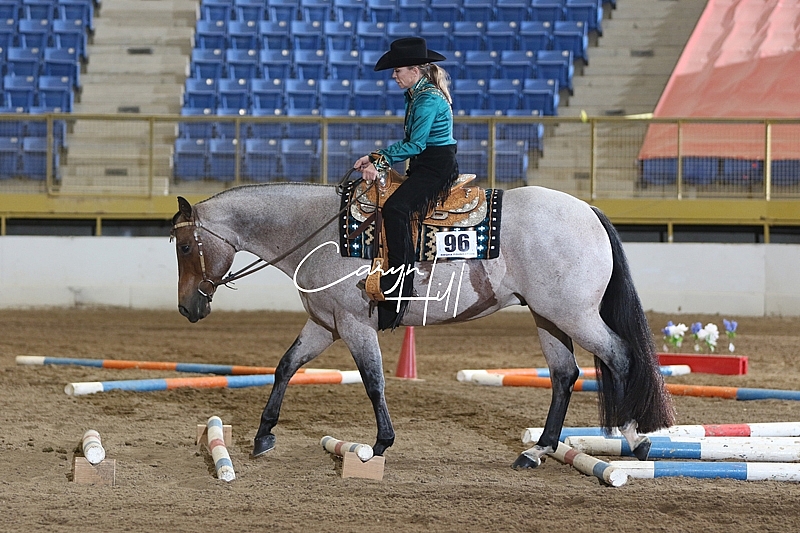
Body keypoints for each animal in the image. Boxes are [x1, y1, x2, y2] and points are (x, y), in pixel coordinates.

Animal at [171, 182, 675, 469]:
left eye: (184, 247)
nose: (187, 308)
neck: (322, 232)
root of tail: (589, 211)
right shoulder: (324, 323)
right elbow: (285, 367)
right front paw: (263, 436)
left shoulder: (353, 325)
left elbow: (373, 381)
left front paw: (380, 444)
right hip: (547, 317)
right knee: (565, 374)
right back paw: (536, 451)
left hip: (575, 315)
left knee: (620, 357)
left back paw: (634, 438)